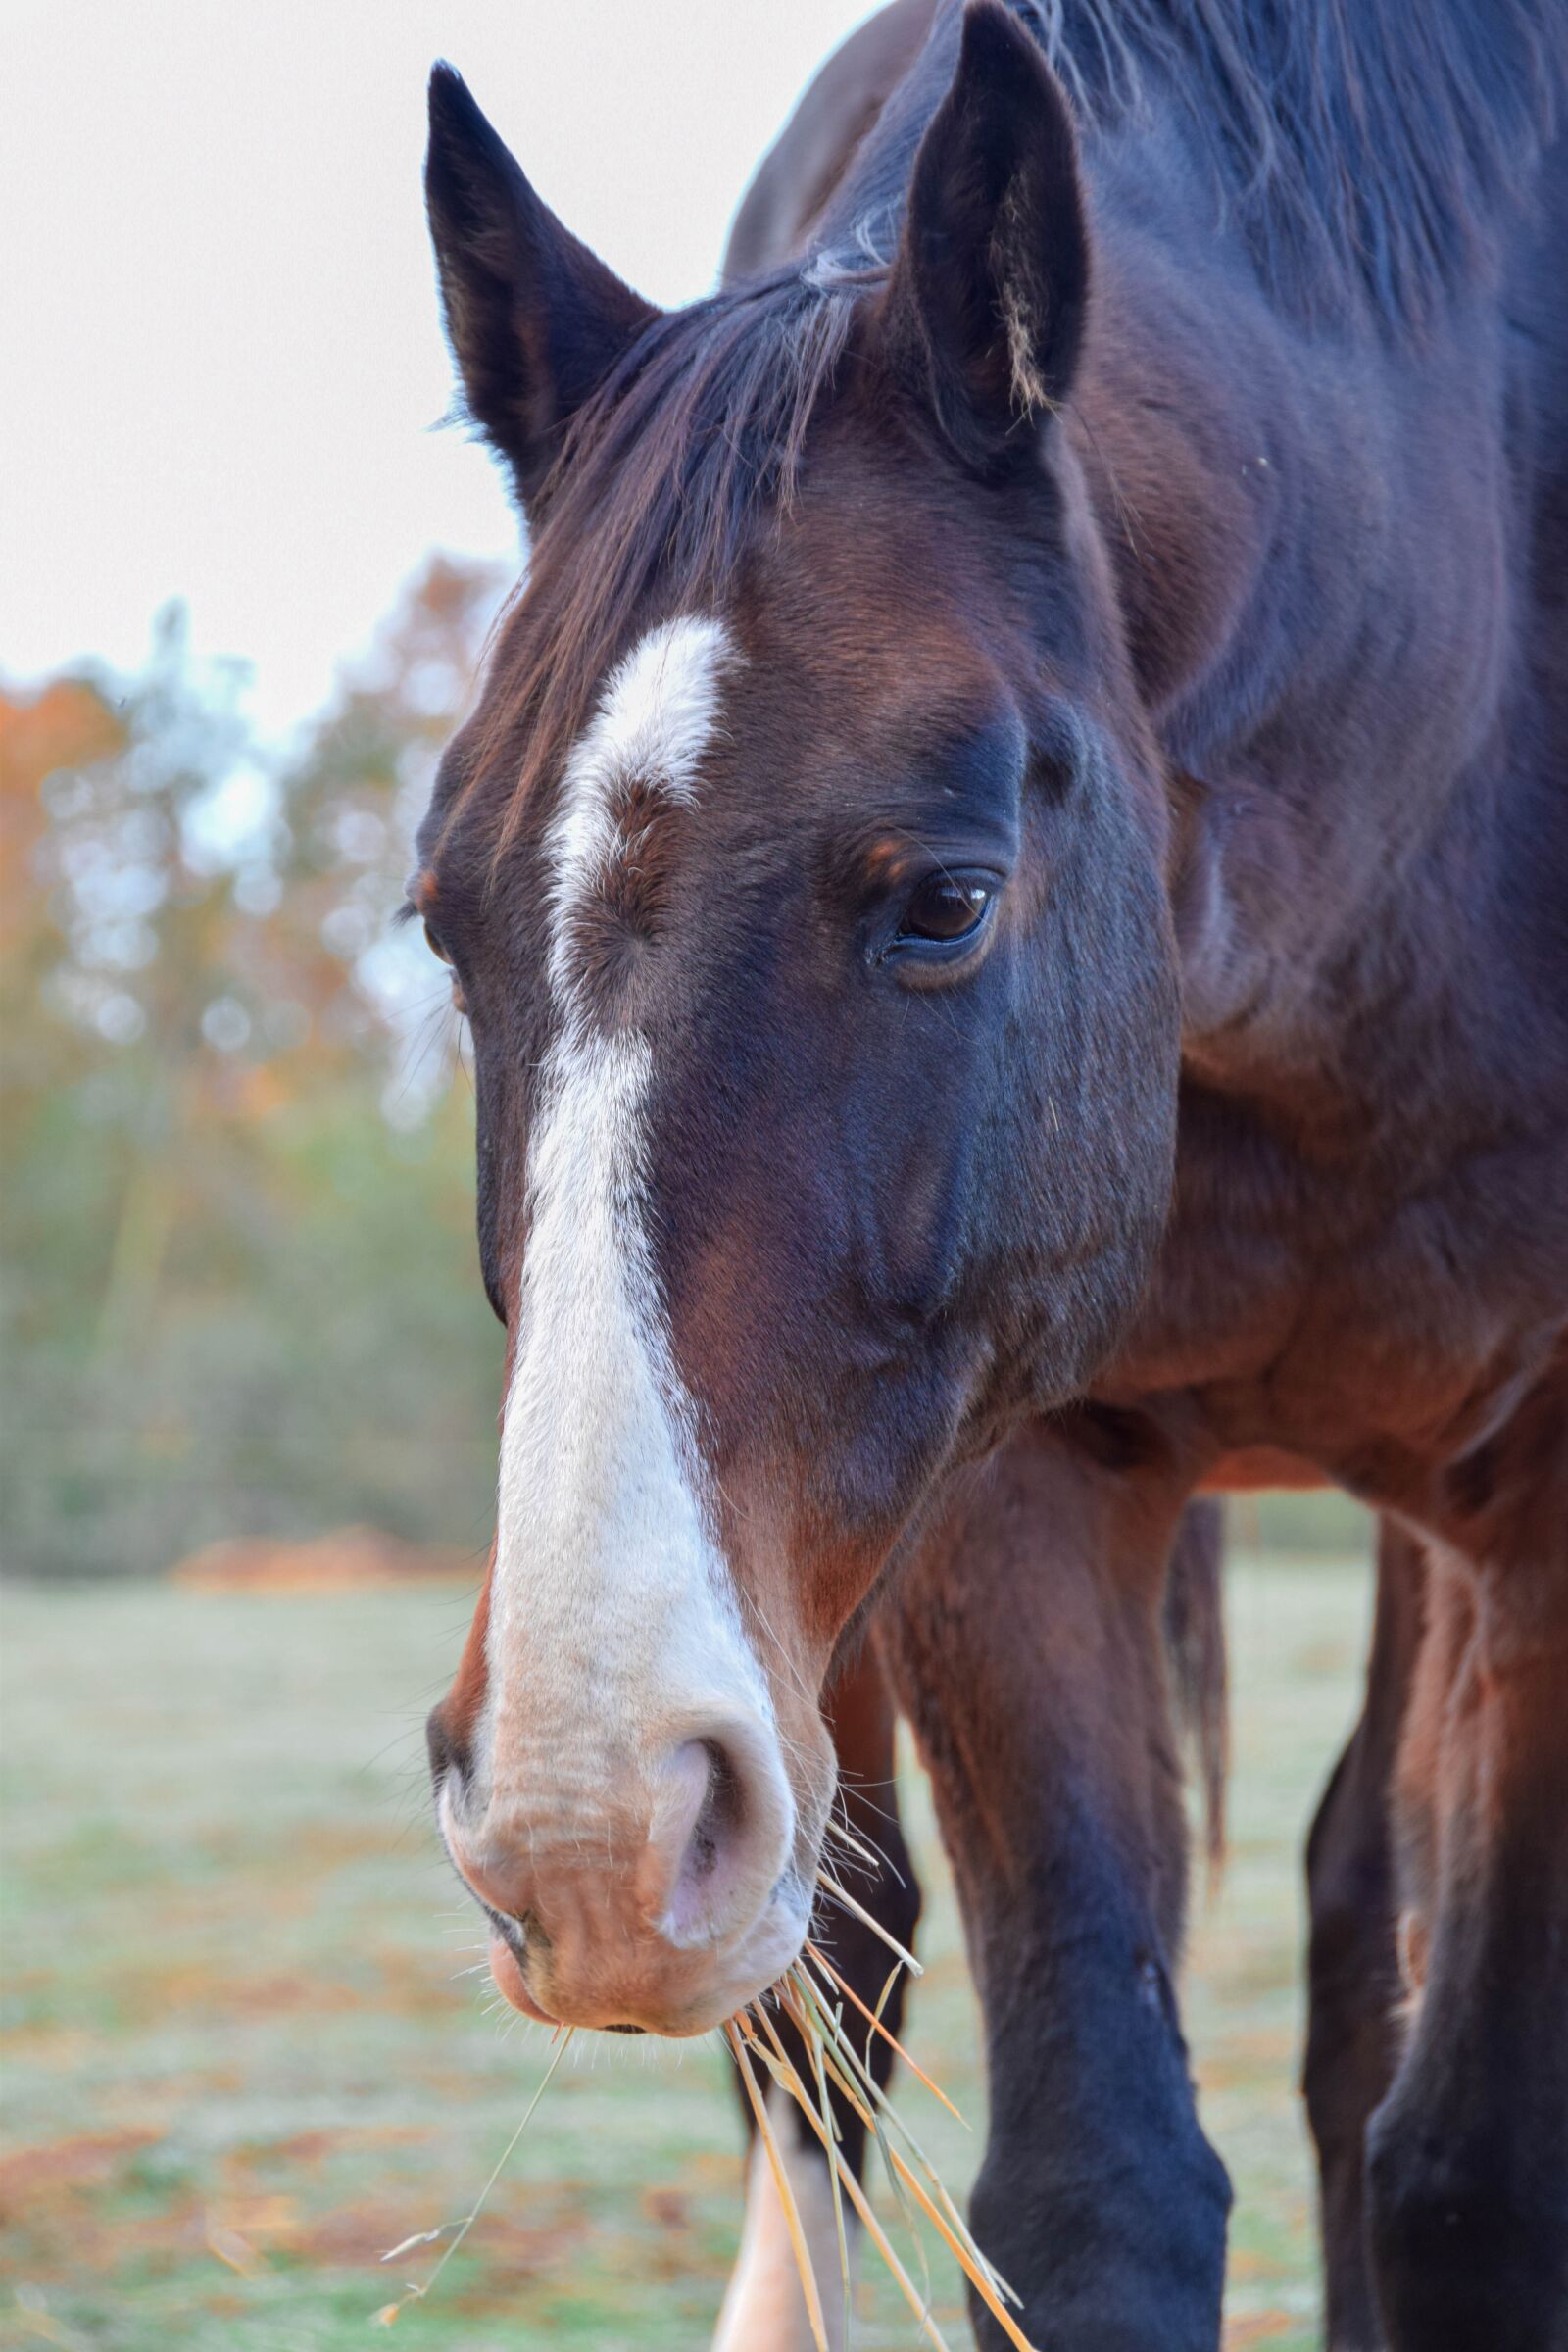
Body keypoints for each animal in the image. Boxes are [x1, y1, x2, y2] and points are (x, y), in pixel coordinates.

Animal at [409, 1, 1568, 2343]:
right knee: (829, 1992)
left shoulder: (1545, 1507)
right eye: (436, 921)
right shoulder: (1010, 1483)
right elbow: (1095, 2188)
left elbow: (1476, 2178)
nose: (572, 1822)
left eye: (945, 901)